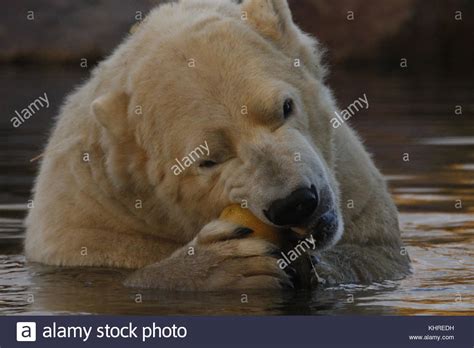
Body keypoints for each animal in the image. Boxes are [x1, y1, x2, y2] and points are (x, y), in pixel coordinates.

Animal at [25, 0, 412, 290]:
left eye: (285, 107)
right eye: (209, 159)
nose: (295, 203)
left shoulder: (351, 177)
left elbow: (377, 254)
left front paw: (319, 267)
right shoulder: (85, 226)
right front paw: (220, 266)